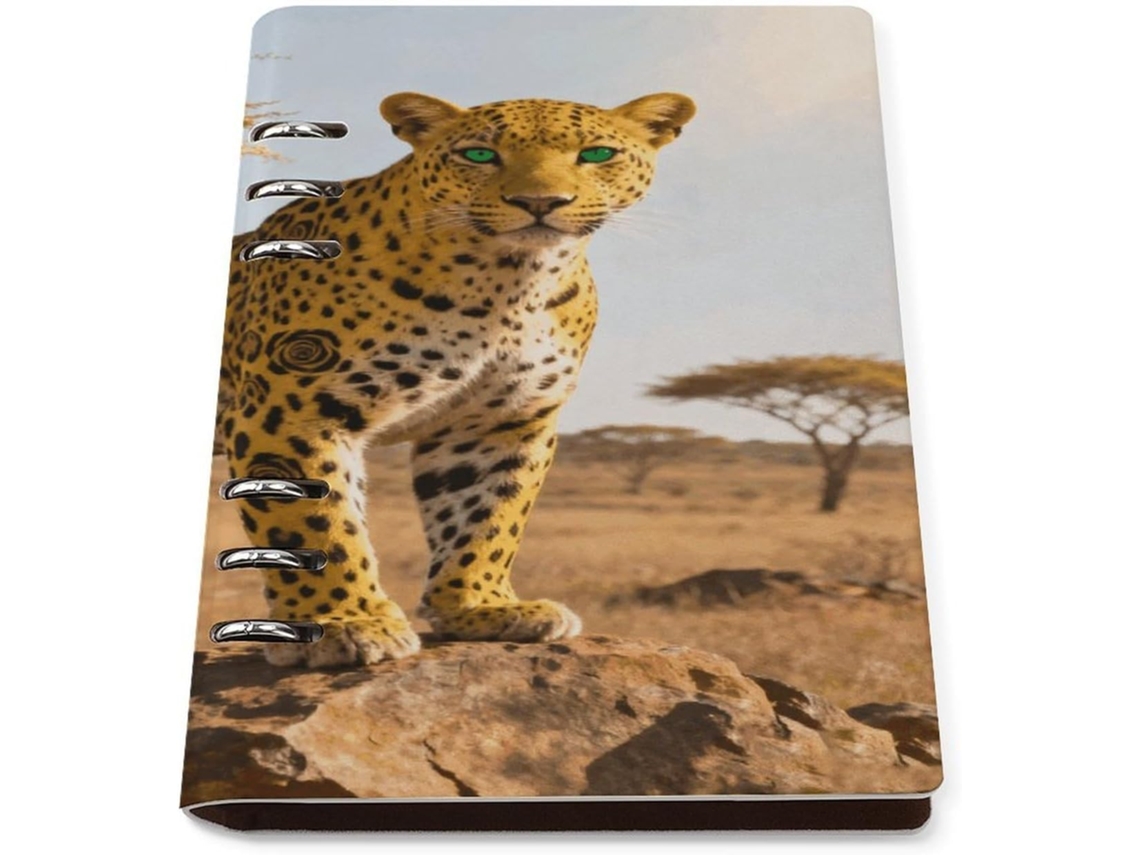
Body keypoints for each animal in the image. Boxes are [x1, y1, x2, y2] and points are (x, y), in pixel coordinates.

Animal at [218, 91, 696, 666]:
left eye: (598, 154)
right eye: (479, 155)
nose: (540, 201)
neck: (508, 282)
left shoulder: (497, 424)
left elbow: (487, 517)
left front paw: (480, 607)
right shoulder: (292, 410)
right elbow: (317, 524)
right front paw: (343, 622)